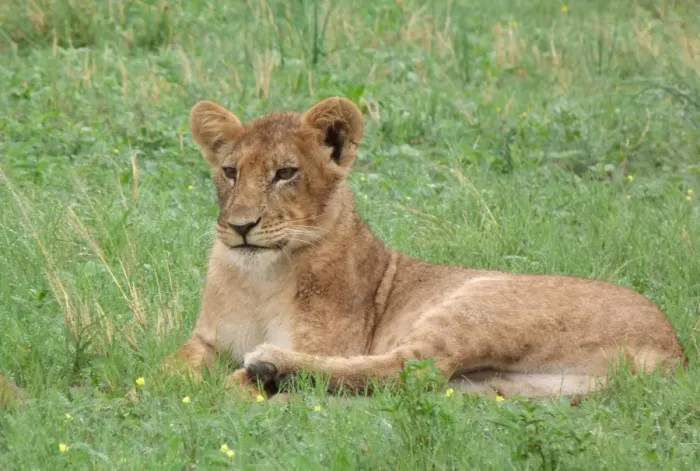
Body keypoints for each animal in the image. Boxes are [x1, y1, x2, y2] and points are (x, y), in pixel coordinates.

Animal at [170, 96, 687, 399]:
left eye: (285, 173)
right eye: (231, 172)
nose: (241, 227)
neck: (259, 277)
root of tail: (674, 348)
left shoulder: (328, 341)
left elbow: (223, 388)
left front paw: (210, 395)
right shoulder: (206, 341)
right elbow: (169, 368)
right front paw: (158, 390)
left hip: (476, 303)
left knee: (411, 367)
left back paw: (270, 367)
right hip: (512, 386)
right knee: (424, 382)